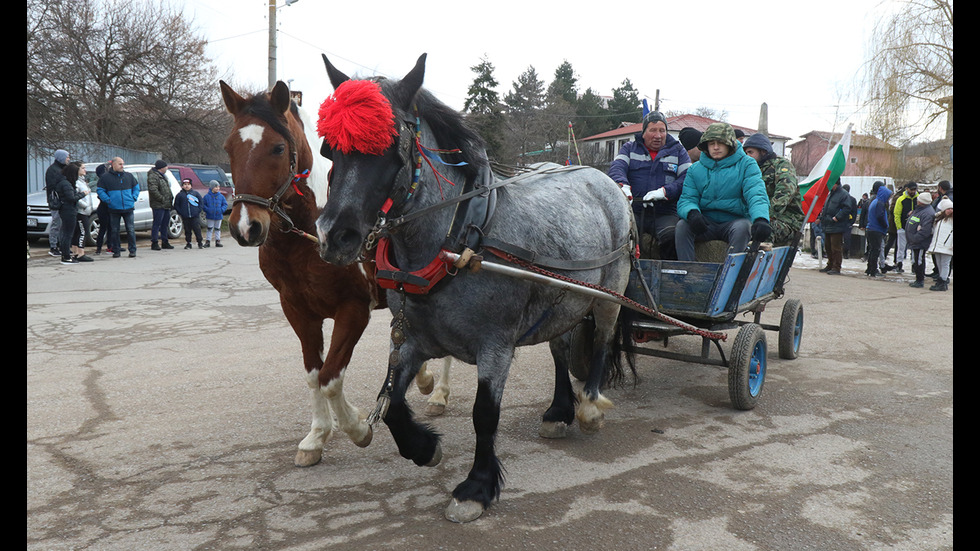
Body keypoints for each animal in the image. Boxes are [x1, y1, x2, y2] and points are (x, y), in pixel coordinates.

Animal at [220, 81, 392, 466]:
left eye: (278, 147)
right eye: (229, 147)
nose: (245, 228)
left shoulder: (354, 309)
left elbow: (330, 377)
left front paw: (357, 428)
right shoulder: (297, 309)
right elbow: (314, 374)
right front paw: (316, 437)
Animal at [314, 54, 636, 524]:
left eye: (392, 147)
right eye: (329, 148)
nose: (334, 235)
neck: (457, 237)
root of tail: (601, 177)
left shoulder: (495, 345)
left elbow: (484, 414)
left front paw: (476, 488)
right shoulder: (409, 338)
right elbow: (390, 404)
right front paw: (424, 448)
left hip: (609, 292)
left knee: (602, 341)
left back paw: (590, 406)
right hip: (560, 301)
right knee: (560, 348)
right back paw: (560, 411)